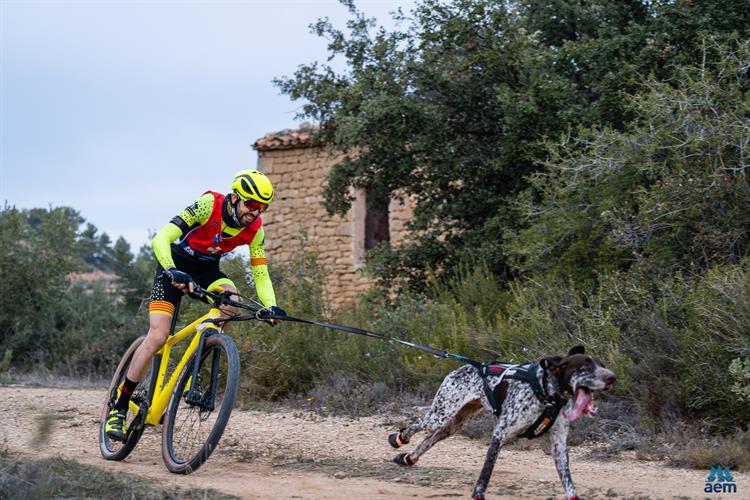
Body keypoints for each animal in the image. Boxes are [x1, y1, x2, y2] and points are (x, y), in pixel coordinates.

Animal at [388, 346, 616, 498]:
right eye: (584, 367)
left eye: (602, 365)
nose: (612, 377)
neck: (545, 392)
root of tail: (465, 367)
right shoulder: (499, 434)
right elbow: (485, 475)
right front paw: (478, 495)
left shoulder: (559, 445)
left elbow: (569, 485)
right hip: (440, 414)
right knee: (417, 425)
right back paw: (399, 438)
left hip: (454, 423)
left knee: (430, 439)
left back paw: (409, 458)